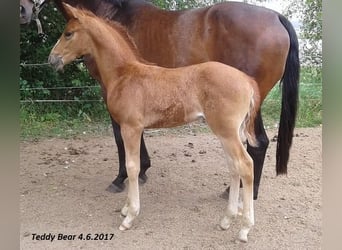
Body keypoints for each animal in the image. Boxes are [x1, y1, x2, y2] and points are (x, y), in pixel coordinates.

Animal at [21, 0, 300, 199]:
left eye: (68, 33)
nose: (23, 10)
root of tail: (277, 17)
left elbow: (119, 138)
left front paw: (121, 179)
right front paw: (143, 171)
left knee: (258, 144)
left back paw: (246, 193)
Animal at [48, 4, 262, 242]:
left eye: (68, 33)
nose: (52, 59)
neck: (123, 74)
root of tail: (247, 80)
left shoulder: (130, 128)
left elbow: (132, 166)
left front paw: (129, 216)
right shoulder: (134, 128)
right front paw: (126, 208)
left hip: (227, 132)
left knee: (246, 165)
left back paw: (244, 229)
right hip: (227, 133)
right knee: (234, 167)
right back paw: (226, 220)